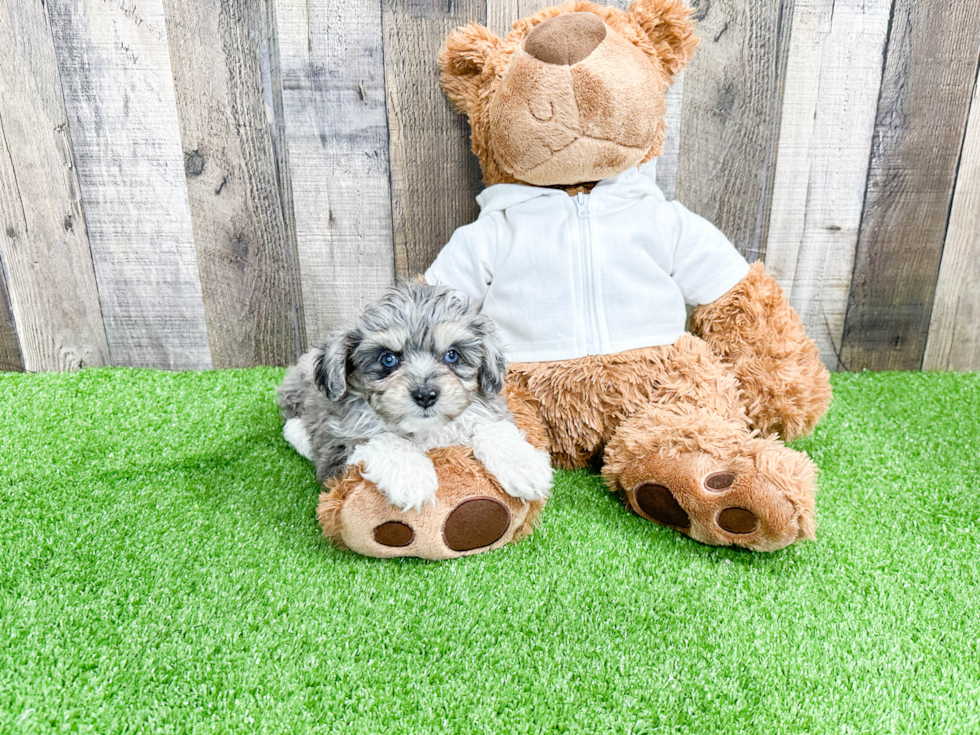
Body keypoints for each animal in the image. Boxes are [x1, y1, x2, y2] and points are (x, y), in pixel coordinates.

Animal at [278, 280, 552, 512]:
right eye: (388, 359)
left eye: (452, 355)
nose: (425, 395)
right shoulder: (338, 443)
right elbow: (382, 438)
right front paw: (411, 477)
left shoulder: (489, 410)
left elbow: (493, 427)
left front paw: (523, 465)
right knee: (291, 420)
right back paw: (300, 434)